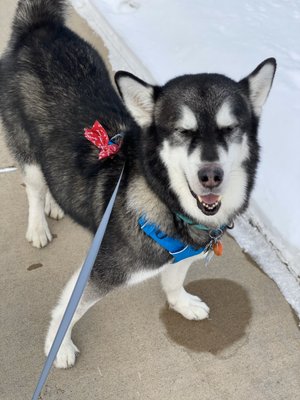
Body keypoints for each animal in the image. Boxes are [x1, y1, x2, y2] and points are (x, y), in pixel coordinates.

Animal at [0, 0, 276, 368]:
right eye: (183, 131)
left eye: (230, 129)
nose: (211, 175)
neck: (166, 201)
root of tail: (40, 27)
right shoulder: (101, 271)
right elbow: (68, 311)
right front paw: (58, 346)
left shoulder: (183, 253)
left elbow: (173, 281)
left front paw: (182, 303)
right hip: (25, 147)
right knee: (33, 186)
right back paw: (38, 225)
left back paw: (55, 204)